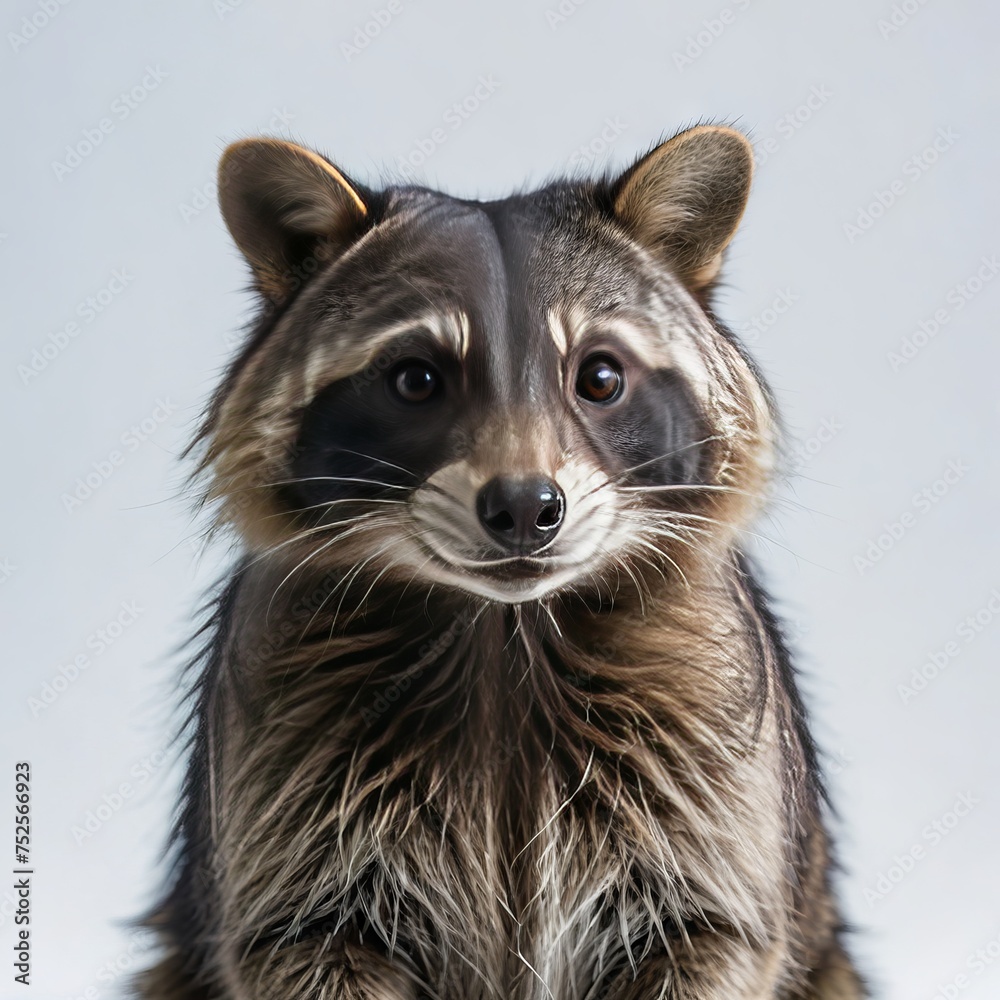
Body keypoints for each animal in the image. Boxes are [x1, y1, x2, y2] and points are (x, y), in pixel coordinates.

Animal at [138, 125, 866, 999]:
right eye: (416, 379)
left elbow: (710, 933)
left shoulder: (707, 765)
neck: (503, 626)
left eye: (600, 377)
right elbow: (303, 939)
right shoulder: (289, 784)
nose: (524, 507)